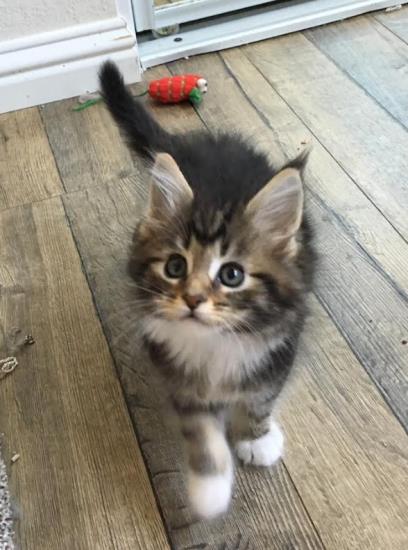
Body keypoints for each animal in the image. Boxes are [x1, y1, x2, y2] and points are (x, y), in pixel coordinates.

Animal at [99, 61, 316, 520]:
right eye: (175, 267)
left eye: (231, 275)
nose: (193, 299)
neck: (215, 342)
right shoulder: (174, 371)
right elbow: (199, 431)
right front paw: (210, 489)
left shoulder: (279, 345)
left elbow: (260, 399)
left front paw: (256, 439)